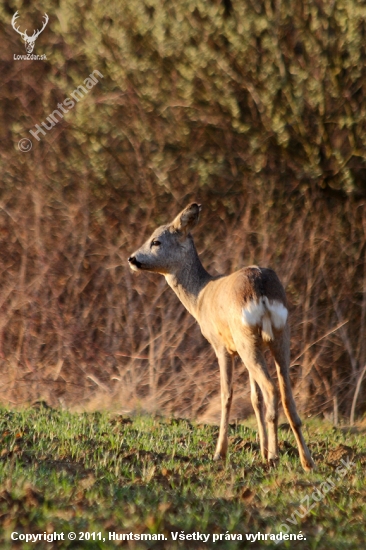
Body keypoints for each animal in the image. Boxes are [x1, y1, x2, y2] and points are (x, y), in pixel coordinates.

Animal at [129, 205, 314, 472]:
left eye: (156, 241)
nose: (132, 259)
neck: (200, 297)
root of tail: (261, 291)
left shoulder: (221, 346)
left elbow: (226, 394)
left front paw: (220, 453)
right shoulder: (248, 346)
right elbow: (254, 398)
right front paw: (260, 449)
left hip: (246, 339)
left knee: (271, 389)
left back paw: (274, 457)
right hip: (277, 336)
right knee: (285, 394)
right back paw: (306, 461)